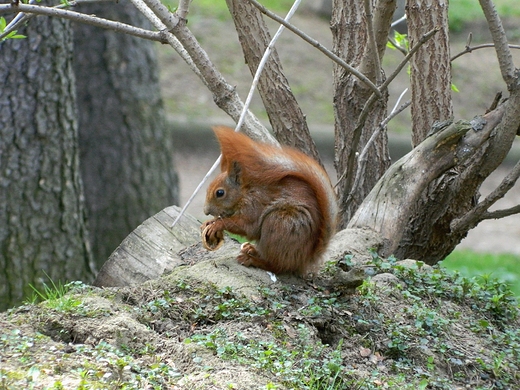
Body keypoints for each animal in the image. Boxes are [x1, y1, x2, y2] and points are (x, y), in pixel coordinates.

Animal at [199, 125, 338, 274]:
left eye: (220, 193)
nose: (206, 211)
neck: (245, 193)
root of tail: (304, 260)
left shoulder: (254, 206)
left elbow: (245, 226)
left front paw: (217, 224)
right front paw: (209, 222)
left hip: (279, 224)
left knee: (277, 265)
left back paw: (252, 260)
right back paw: (251, 249)